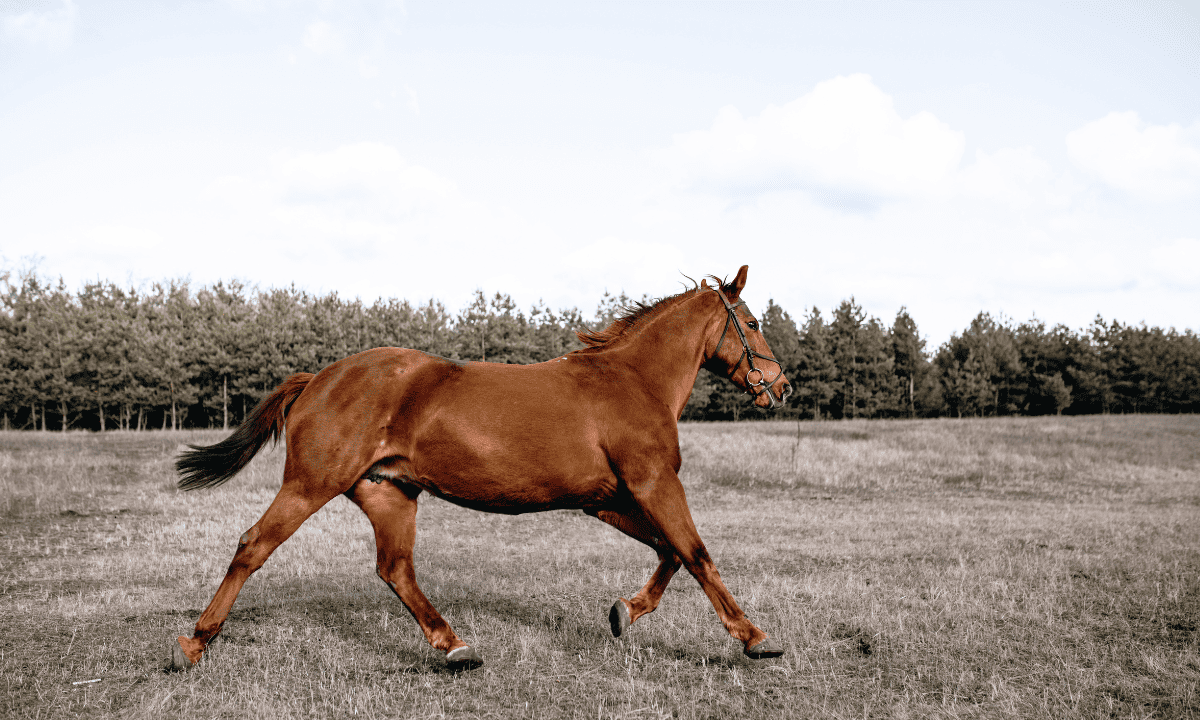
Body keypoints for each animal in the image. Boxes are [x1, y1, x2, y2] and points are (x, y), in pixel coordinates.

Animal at [169, 265, 792, 671]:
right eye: (753, 322)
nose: (780, 386)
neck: (631, 383)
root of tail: (319, 377)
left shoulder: (607, 500)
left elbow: (669, 552)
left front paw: (624, 612)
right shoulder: (653, 484)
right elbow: (696, 554)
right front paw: (754, 638)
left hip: (389, 494)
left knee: (395, 569)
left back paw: (454, 647)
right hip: (309, 485)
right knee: (253, 546)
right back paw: (194, 643)